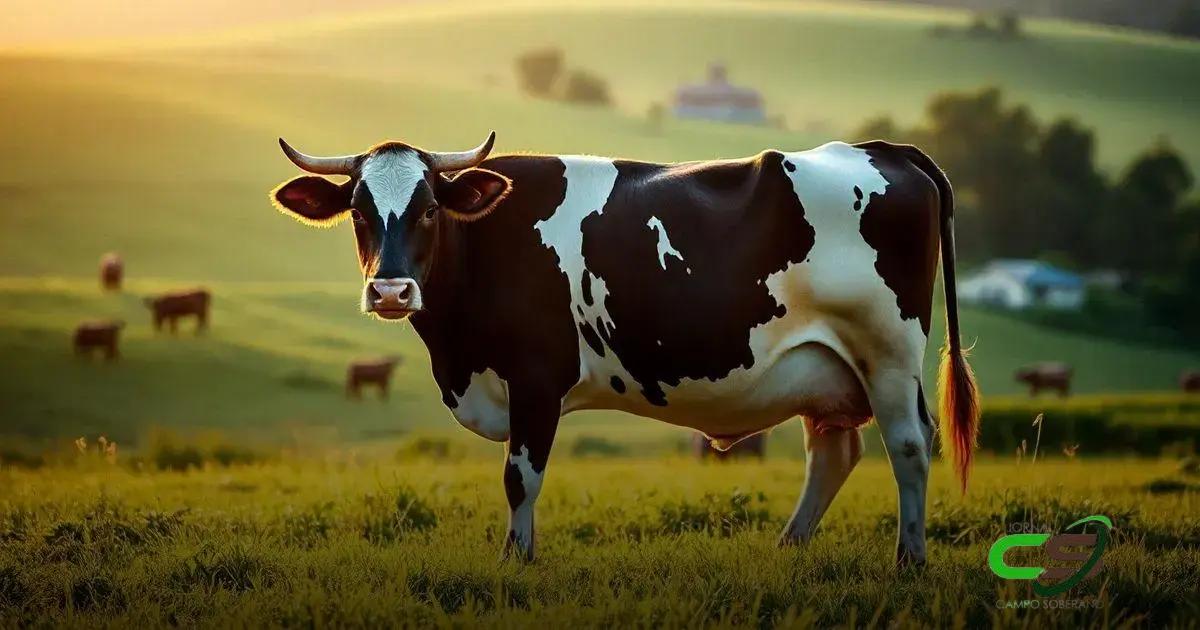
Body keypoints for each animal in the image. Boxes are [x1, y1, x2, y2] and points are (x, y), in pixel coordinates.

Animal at [267, 132, 980, 566]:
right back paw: (789, 548)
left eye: (429, 210)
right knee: (834, 452)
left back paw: (909, 560)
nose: (390, 289)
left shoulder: (536, 376)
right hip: (826, 364)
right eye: (358, 212)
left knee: (910, 445)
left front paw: (514, 564)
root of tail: (880, 149)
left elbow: (520, 477)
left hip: (886, 352)